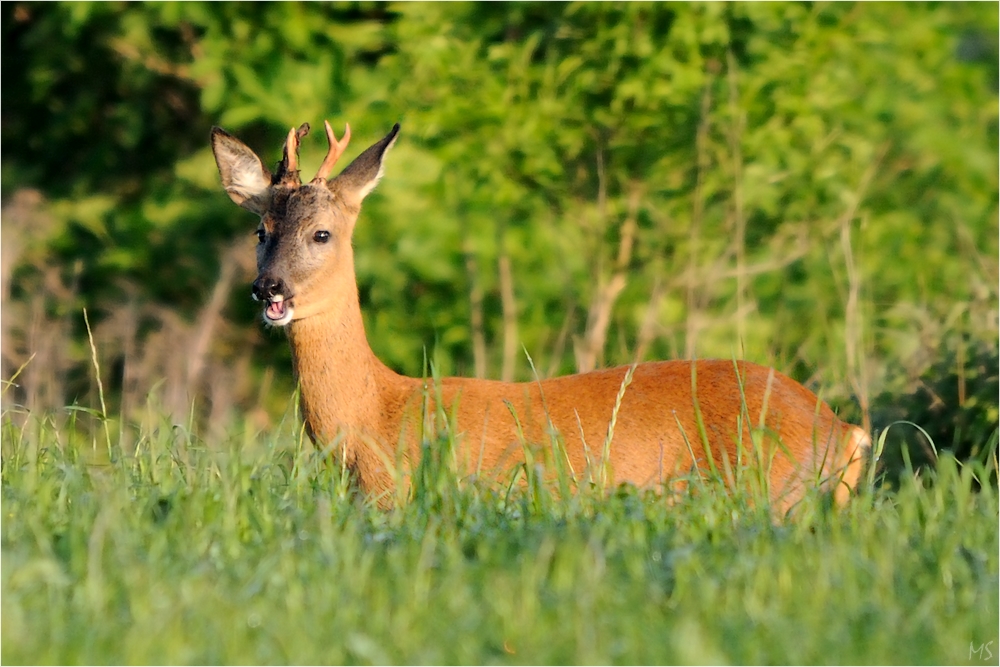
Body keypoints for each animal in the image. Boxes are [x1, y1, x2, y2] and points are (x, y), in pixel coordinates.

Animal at [211, 120, 868, 512]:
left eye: (322, 233)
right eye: (260, 231)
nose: (268, 288)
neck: (374, 417)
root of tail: (844, 431)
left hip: (769, 495)